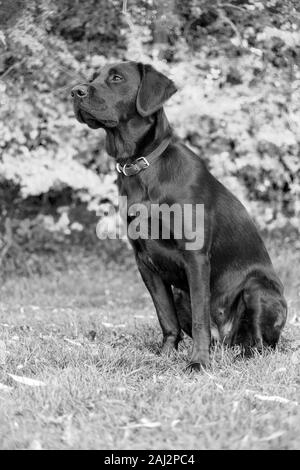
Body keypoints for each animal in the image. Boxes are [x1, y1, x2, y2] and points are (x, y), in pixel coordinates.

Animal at [71, 61, 288, 370]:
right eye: (93, 77)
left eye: (116, 77)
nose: (75, 91)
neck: (141, 168)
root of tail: (226, 339)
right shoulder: (144, 261)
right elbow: (166, 317)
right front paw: (165, 354)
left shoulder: (195, 256)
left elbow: (200, 320)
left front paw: (198, 363)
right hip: (180, 292)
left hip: (258, 289)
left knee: (259, 343)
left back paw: (243, 354)